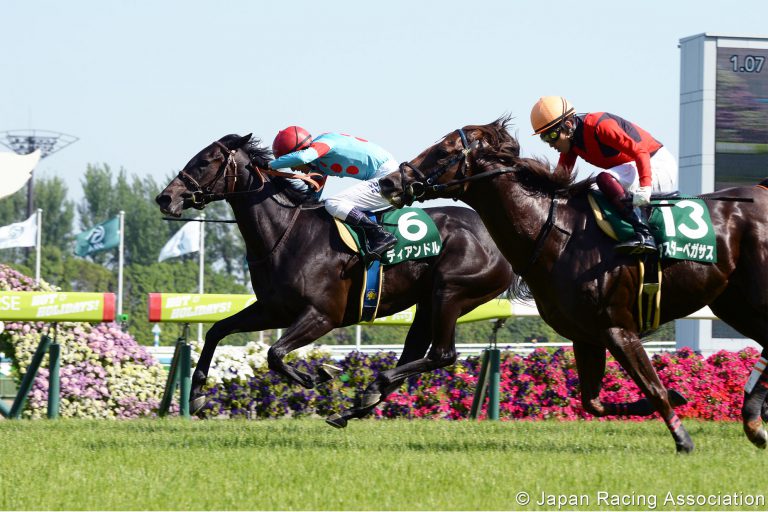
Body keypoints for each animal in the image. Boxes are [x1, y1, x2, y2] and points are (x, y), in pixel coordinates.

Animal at [155, 133, 516, 424]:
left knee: (442, 355)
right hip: (428, 303)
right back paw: (357, 405)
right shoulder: (273, 310)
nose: (165, 198)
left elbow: (274, 353)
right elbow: (217, 330)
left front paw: (318, 375)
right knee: (414, 355)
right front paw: (197, 394)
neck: (286, 233)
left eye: (205, 161)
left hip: (450, 292)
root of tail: (496, 237)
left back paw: (370, 389)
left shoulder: (322, 315)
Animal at [380, 117, 768, 452]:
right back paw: (753, 422)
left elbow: (652, 388)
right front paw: (674, 398)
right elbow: (593, 402)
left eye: (443, 150)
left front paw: (683, 440)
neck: (559, 234)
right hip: (734, 303)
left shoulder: (617, 327)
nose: (389, 183)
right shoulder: (585, 336)